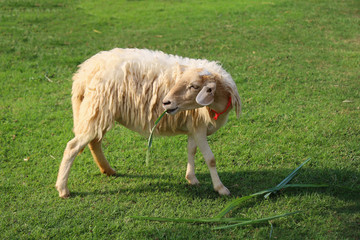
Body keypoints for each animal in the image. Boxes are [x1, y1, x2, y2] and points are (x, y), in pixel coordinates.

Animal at [55, 47, 242, 198]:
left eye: (195, 86)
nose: (166, 102)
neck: (217, 106)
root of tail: (84, 72)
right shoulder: (198, 127)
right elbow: (210, 159)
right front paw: (221, 188)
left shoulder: (194, 127)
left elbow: (191, 151)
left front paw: (191, 178)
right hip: (97, 107)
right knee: (73, 146)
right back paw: (63, 189)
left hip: (99, 112)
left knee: (94, 142)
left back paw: (107, 170)